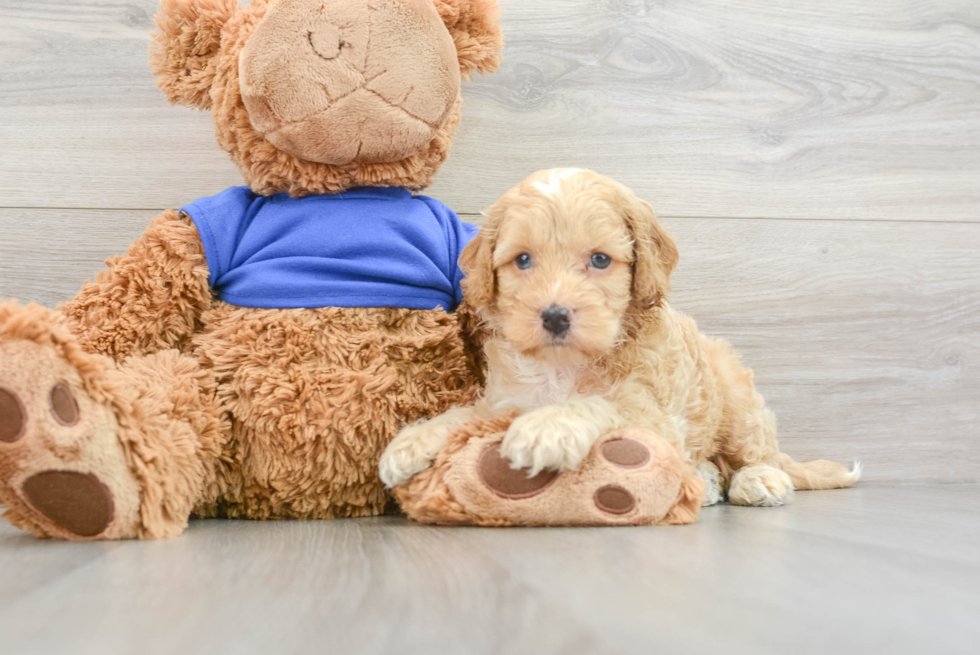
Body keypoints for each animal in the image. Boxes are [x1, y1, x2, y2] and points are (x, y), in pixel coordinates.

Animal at [378, 169, 860, 508]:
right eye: (523, 260)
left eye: (600, 260)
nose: (555, 316)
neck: (563, 367)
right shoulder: (504, 400)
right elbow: (465, 414)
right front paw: (412, 442)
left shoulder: (652, 415)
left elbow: (600, 404)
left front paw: (548, 427)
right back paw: (704, 483)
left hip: (737, 398)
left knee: (757, 452)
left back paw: (759, 479)